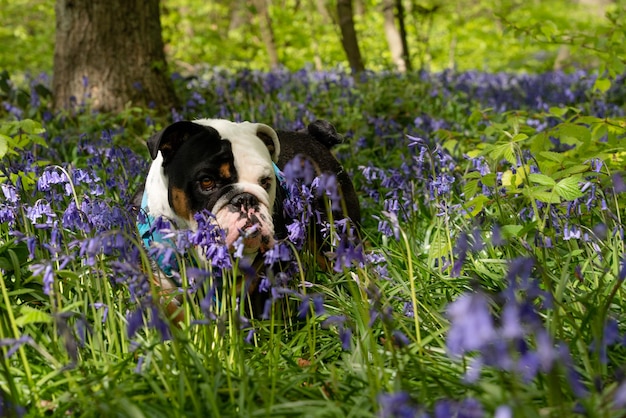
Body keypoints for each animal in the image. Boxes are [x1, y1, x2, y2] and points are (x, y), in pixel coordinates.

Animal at [135, 118, 360, 320]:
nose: (245, 199)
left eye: (266, 182)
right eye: (207, 181)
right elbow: (171, 312)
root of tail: (310, 135)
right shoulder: (158, 283)